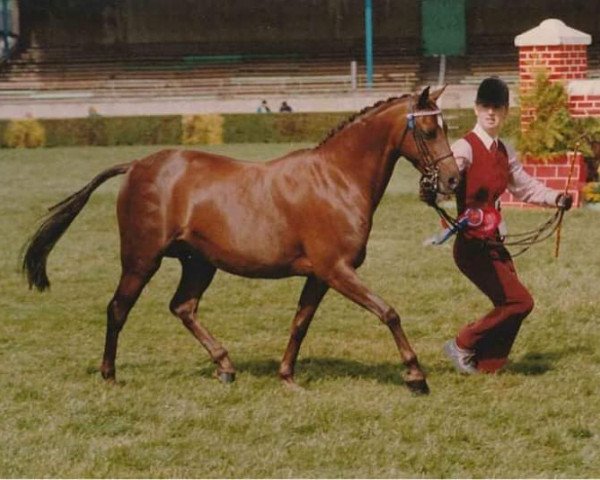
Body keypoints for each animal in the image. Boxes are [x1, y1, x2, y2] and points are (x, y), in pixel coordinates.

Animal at [21, 85, 458, 394]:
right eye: (430, 130)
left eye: (445, 127)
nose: (453, 180)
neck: (336, 178)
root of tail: (138, 164)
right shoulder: (337, 270)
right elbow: (388, 312)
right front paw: (415, 376)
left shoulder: (319, 275)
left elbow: (300, 323)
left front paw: (287, 376)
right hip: (142, 259)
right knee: (118, 309)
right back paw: (110, 375)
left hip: (199, 264)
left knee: (183, 307)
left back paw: (225, 366)